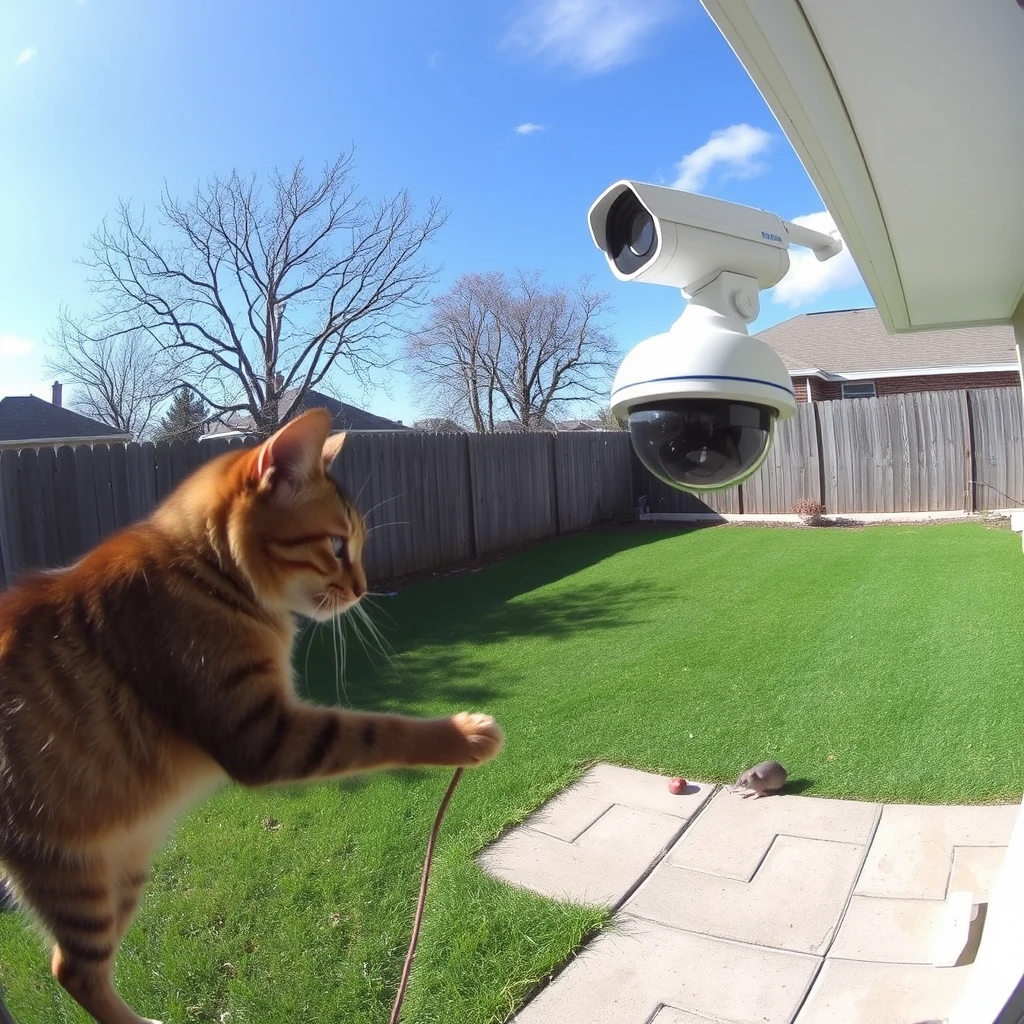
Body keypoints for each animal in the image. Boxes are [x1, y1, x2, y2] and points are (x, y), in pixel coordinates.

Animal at [0, 409, 499, 1024]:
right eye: (338, 544)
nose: (363, 589)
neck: (206, 573)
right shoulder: (260, 734)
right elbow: (379, 729)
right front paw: (464, 734)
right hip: (74, 878)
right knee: (72, 970)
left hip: (124, 862)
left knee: (71, 966)